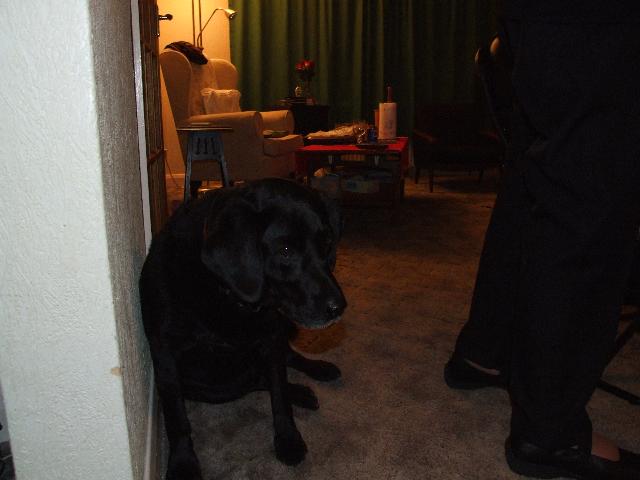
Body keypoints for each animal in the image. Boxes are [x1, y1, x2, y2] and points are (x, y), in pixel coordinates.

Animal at [140, 178, 347, 480]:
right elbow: (177, 419)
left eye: (327, 243)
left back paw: (317, 372)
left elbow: (280, 397)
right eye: (285, 251)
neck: (225, 295)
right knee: (257, 381)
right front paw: (182, 463)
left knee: (285, 364)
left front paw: (288, 439)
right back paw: (300, 391)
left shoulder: (271, 340)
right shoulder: (166, 357)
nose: (339, 307)